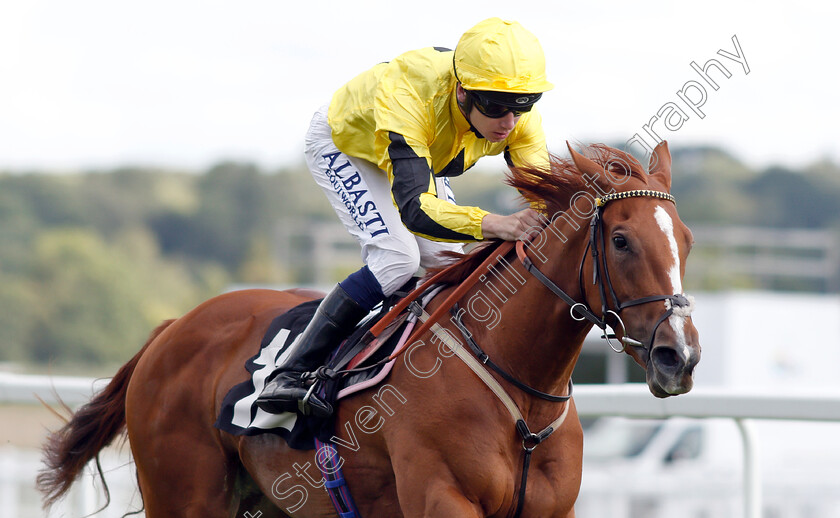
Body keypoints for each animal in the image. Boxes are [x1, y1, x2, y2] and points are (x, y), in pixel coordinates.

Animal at [36, 142, 700, 518]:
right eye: (621, 240)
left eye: (687, 241)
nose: (680, 356)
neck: (522, 402)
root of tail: (175, 328)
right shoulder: (441, 499)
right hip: (183, 494)